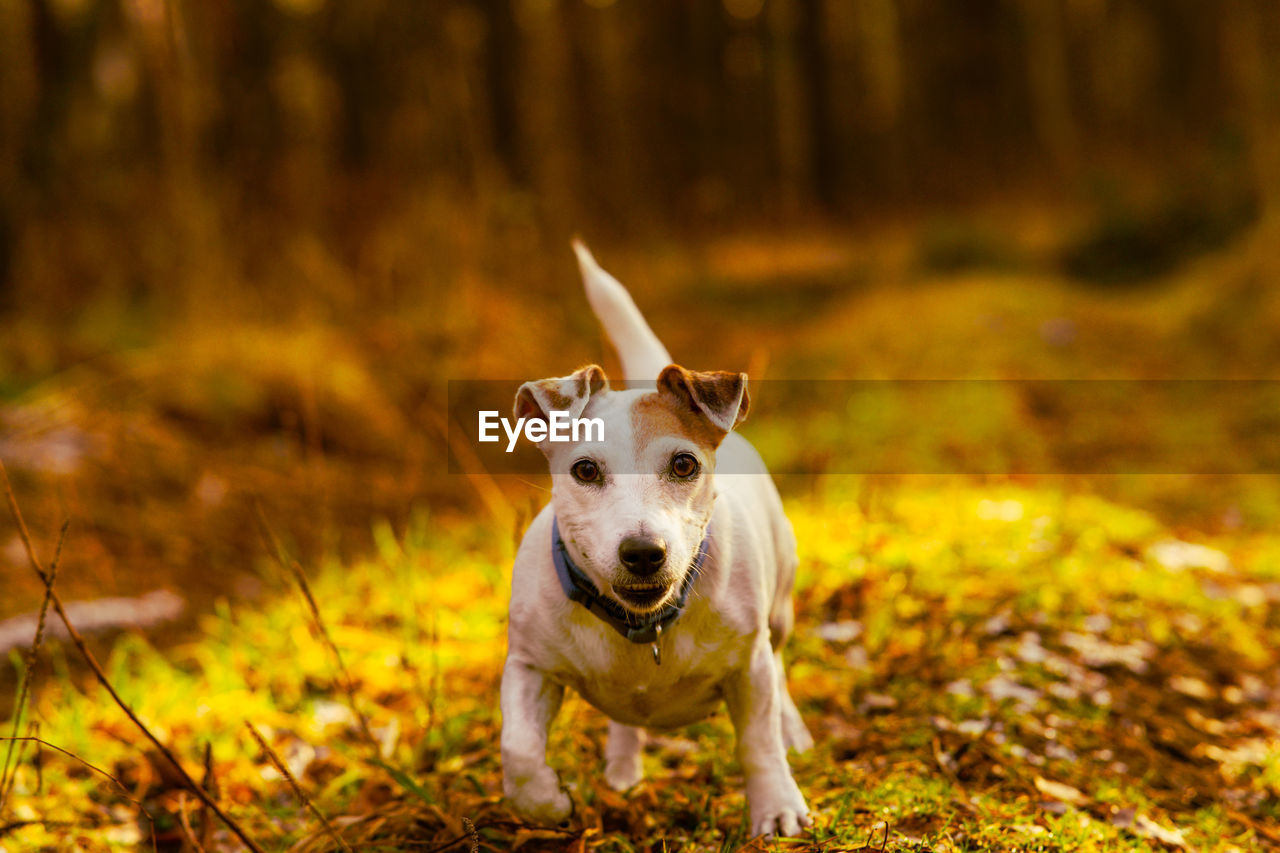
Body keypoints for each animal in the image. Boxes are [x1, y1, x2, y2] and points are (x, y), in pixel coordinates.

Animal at [499, 240, 808, 835]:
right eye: (586, 470)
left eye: (684, 464)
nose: (643, 553)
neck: (642, 627)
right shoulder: (528, 666)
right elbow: (518, 751)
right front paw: (547, 803)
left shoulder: (749, 666)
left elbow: (757, 744)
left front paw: (776, 806)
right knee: (622, 722)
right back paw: (622, 767)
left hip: (779, 612)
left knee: (781, 674)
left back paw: (794, 731)